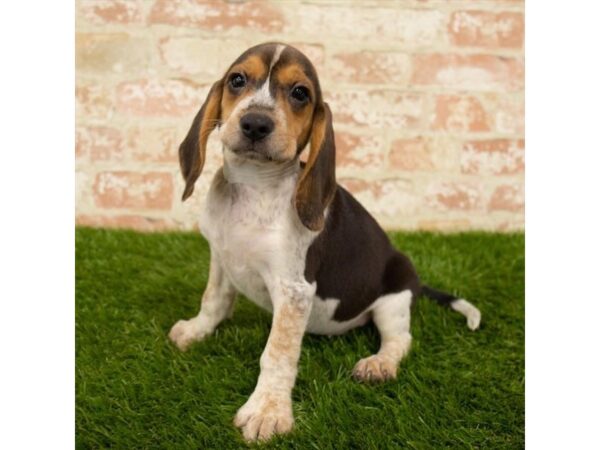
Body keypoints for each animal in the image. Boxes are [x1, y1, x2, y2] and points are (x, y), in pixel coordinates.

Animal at [168, 43, 478, 442]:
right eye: (237, 80)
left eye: (300, 93)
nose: (256, 123)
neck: (254, 186)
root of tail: (416, 282)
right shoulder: (221, 257)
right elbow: (214, 301)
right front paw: (196, 330)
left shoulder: (294, 291)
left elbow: (277, 354)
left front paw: (268, 411)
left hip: (393, 298)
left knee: (400, 339)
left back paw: (379, 364)